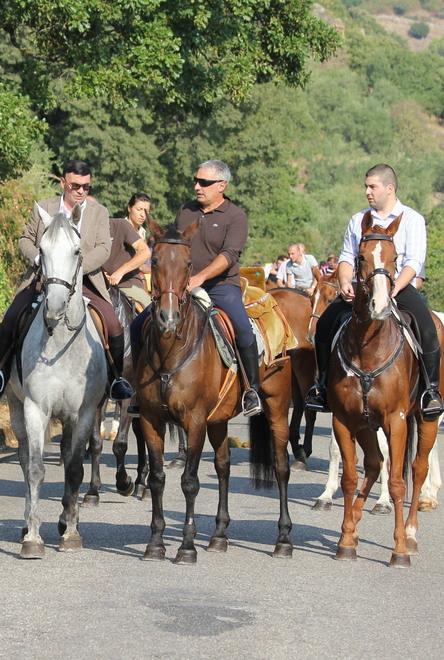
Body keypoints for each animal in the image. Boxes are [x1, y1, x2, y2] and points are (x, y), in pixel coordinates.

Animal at [6, 204, 107, 558]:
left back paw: (65, 519)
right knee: (25, 460)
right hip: (16, 405)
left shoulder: (84, 413)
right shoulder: (36, 409)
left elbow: (74, 468)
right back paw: (27, 524)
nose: (54, 306)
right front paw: (33, 539)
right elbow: (36, 469)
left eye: (77, 251)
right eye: (41, 250)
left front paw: (72, 533)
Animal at [136, 221, 294, 563]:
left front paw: (186, 546)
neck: (172, 351)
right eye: (154, 261)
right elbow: (157, 479)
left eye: (188, 264)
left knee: (281, 467)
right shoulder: (151, 420)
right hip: (218, 420)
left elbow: (190, 482)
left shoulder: (194, 422)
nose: (168, 318)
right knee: (223, 467)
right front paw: (155, 543)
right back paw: (219, 535)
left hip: (277, 408)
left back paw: (284, 539)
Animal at [328, 214, 443, 567]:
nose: (378, 305)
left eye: (394, 259)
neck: (369, 345)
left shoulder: (396, 420)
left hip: (425, 418)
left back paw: (411, 533)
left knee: (417, 468)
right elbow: (350, 478)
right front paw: (346, 540)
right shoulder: (344, 419)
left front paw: (399, 550)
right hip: (367, 424)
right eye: (362, 258)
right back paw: (354, 524)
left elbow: (396, 482)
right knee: (375, 463)